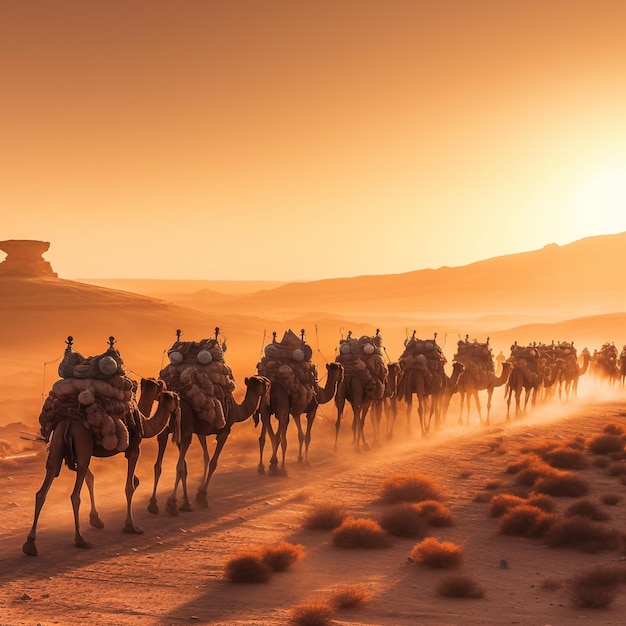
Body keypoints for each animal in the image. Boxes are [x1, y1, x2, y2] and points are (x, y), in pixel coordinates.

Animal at [22, 378, 178, 552]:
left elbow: (93, 478)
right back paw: (81, 540)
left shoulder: (85, 454)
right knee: (75, 494)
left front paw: (95, 519)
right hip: (82, 443)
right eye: (174, 397)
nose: (177, 401)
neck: (144, 423)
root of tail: (69, 422)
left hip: (58, 445)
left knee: (43, 489)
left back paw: (30, 544)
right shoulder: (133, 450)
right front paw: (131, 526)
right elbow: (129, 486)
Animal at [151, 372, 270, 516]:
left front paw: (194, 495)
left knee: (161, 460)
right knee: (179, 466)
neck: (237, 411)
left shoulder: (200, 432)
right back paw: (173, 504)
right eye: (262, 382)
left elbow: (205, 458)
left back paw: (155, 504)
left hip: (168, 428)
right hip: (185, 428)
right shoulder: (225, 432)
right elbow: (213, 462)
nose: (268, 381)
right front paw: (202, 496)